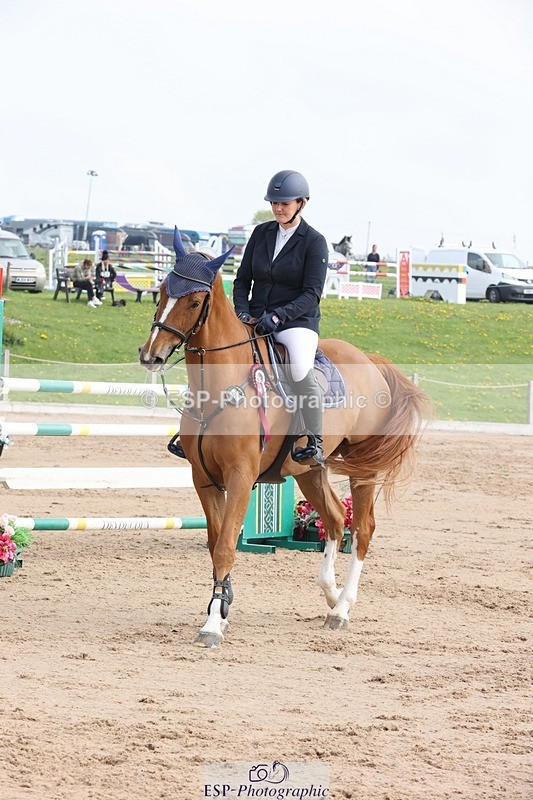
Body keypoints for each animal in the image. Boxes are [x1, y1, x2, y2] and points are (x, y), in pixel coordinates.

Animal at [140, 228, 426, 648]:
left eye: (193, 301)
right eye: (161, 291)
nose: (151, 355)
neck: (223, 384)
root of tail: (372, 361)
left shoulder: (241, 476)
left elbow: (225, 547)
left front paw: (212, 625)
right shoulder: (203, 478)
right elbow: (215, 543)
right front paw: (222, 608)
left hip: (364, 469)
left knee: (362, 529)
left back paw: (343, 608)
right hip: (307, 469)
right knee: (335, 519)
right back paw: (331, 596)